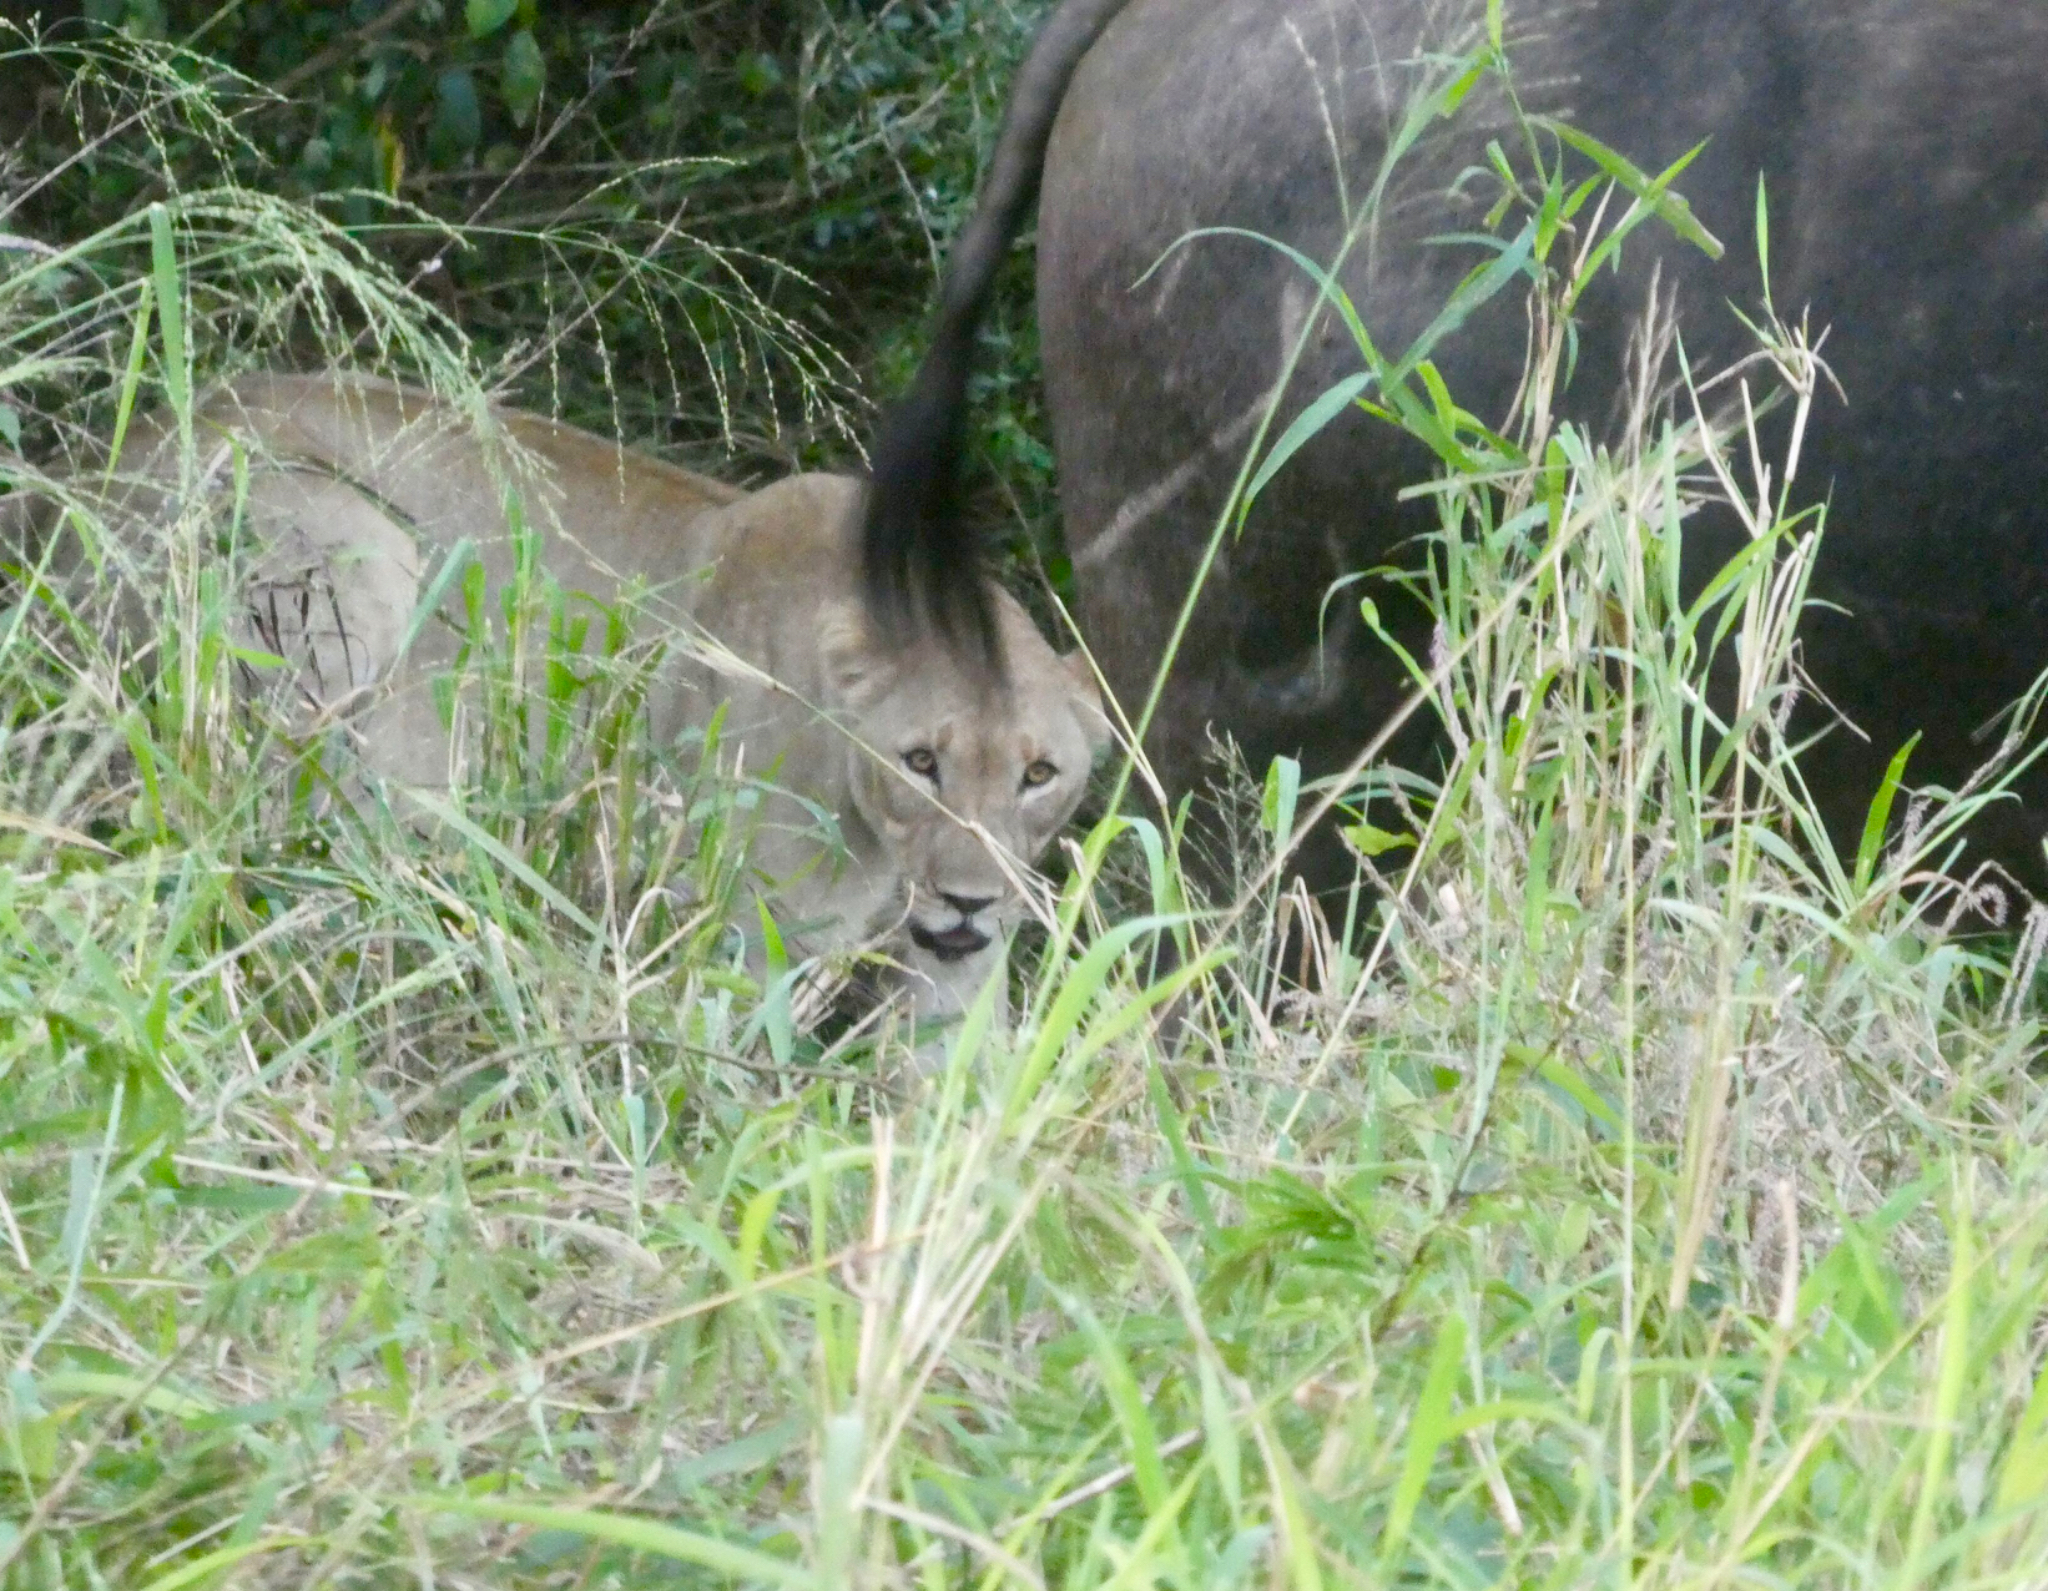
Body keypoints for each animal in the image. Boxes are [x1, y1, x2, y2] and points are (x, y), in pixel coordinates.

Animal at [84, 370, 1108, 1025]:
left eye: (1039, 774)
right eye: (920, 761)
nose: (971, 901)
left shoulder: (955, 981)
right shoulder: (747, 939)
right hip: (354, 551)